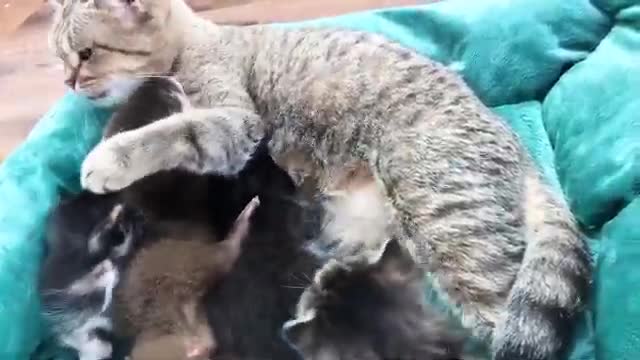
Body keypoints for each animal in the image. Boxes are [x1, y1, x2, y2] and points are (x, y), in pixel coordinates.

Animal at [48, 1, 592, 358]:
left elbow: (173, 132)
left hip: (446, 226)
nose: (68, 81)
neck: (195, 42)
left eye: (87, 53)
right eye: (61, 57)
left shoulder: (234, 123)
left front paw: (109, 157)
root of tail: (523, 154)